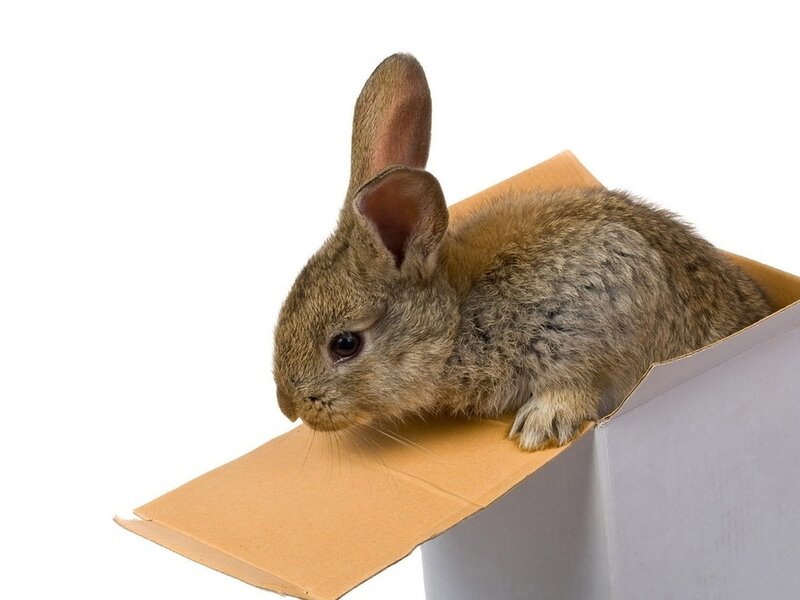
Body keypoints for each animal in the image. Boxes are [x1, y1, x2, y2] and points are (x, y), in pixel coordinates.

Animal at [272, 53, 771, 450]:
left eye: (345, 344)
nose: (289, 407)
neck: (456, 319)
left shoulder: (598, 307)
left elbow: (580, 383)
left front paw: (540, 426)